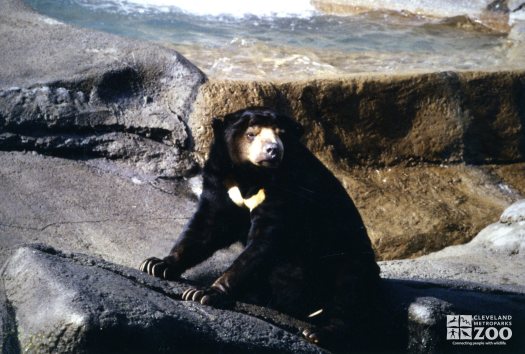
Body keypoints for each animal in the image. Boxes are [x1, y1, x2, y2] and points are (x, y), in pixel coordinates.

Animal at [139, 106, 380, 350]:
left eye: (281, 134)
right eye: (251, 134)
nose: (273, 150)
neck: (250, 176)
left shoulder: (285, 190)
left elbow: (263, 243)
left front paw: (202, 292)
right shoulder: (221, 182)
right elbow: (206, 226)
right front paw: (156, 264)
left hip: (348, 260)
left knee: (347, 292)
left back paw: (318, 332)